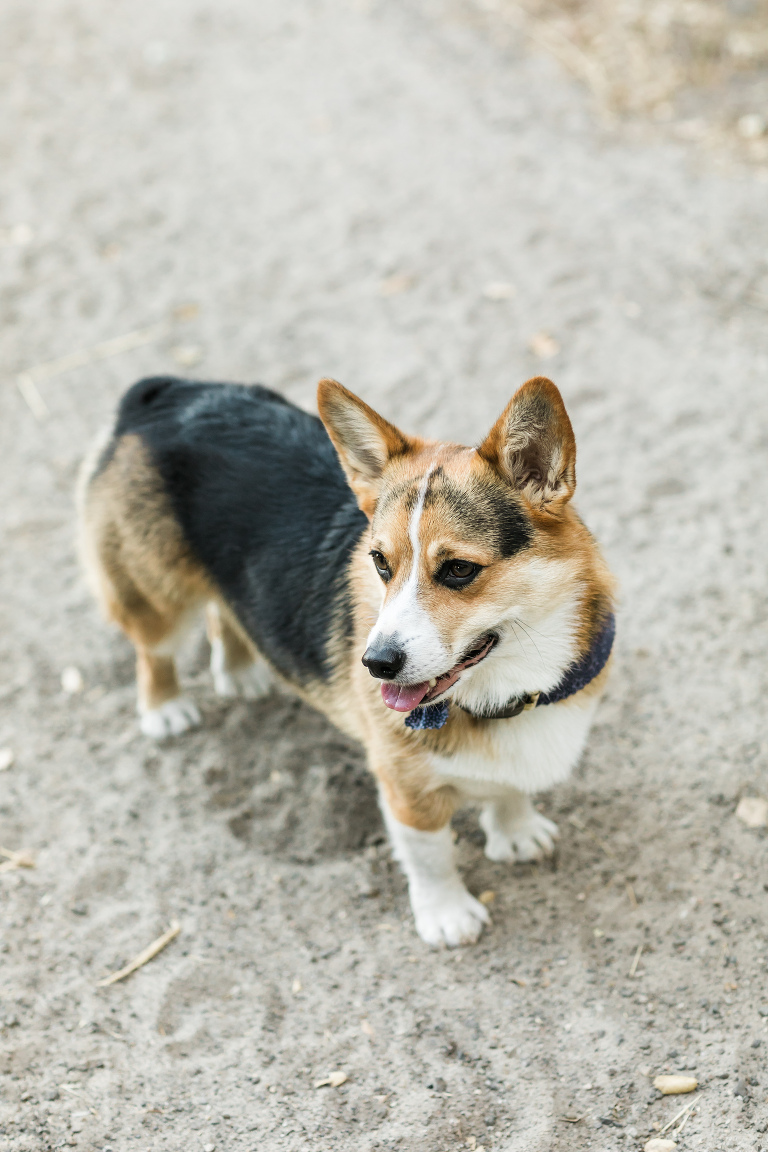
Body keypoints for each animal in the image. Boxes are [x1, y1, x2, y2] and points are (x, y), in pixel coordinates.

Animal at [78, 375, 617, 944]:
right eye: (379, 562)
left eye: (458, 569)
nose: (375, 664)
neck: (507, 687)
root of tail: (165, 390)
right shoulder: (405, 790)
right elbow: (431, 856)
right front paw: (447, 916)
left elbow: (509, 789)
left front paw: (516, 833)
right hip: (156, 595)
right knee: (153, 649)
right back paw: (165, 709)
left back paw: (242, 672)